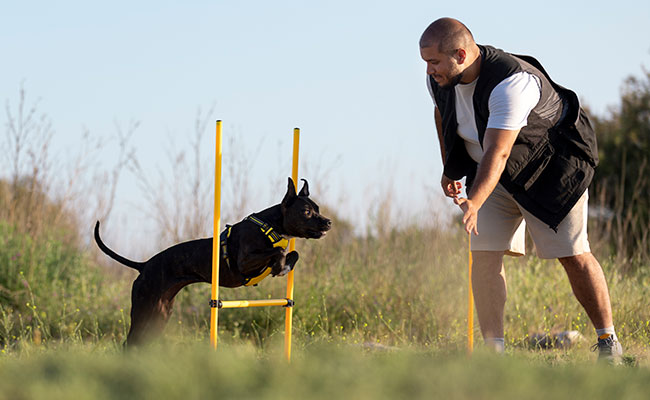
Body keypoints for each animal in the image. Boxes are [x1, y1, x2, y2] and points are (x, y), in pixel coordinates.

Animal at [92, 178, 330, 344]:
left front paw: (283, 266)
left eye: (317, 209)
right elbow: (278, 252)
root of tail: (144, 265)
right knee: (129, 343)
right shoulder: (244, 262)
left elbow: (293, 254)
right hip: (143, 311)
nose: (328, 222)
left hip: (159, 314)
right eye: (307, 211)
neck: (270, 226)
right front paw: (279, 266)